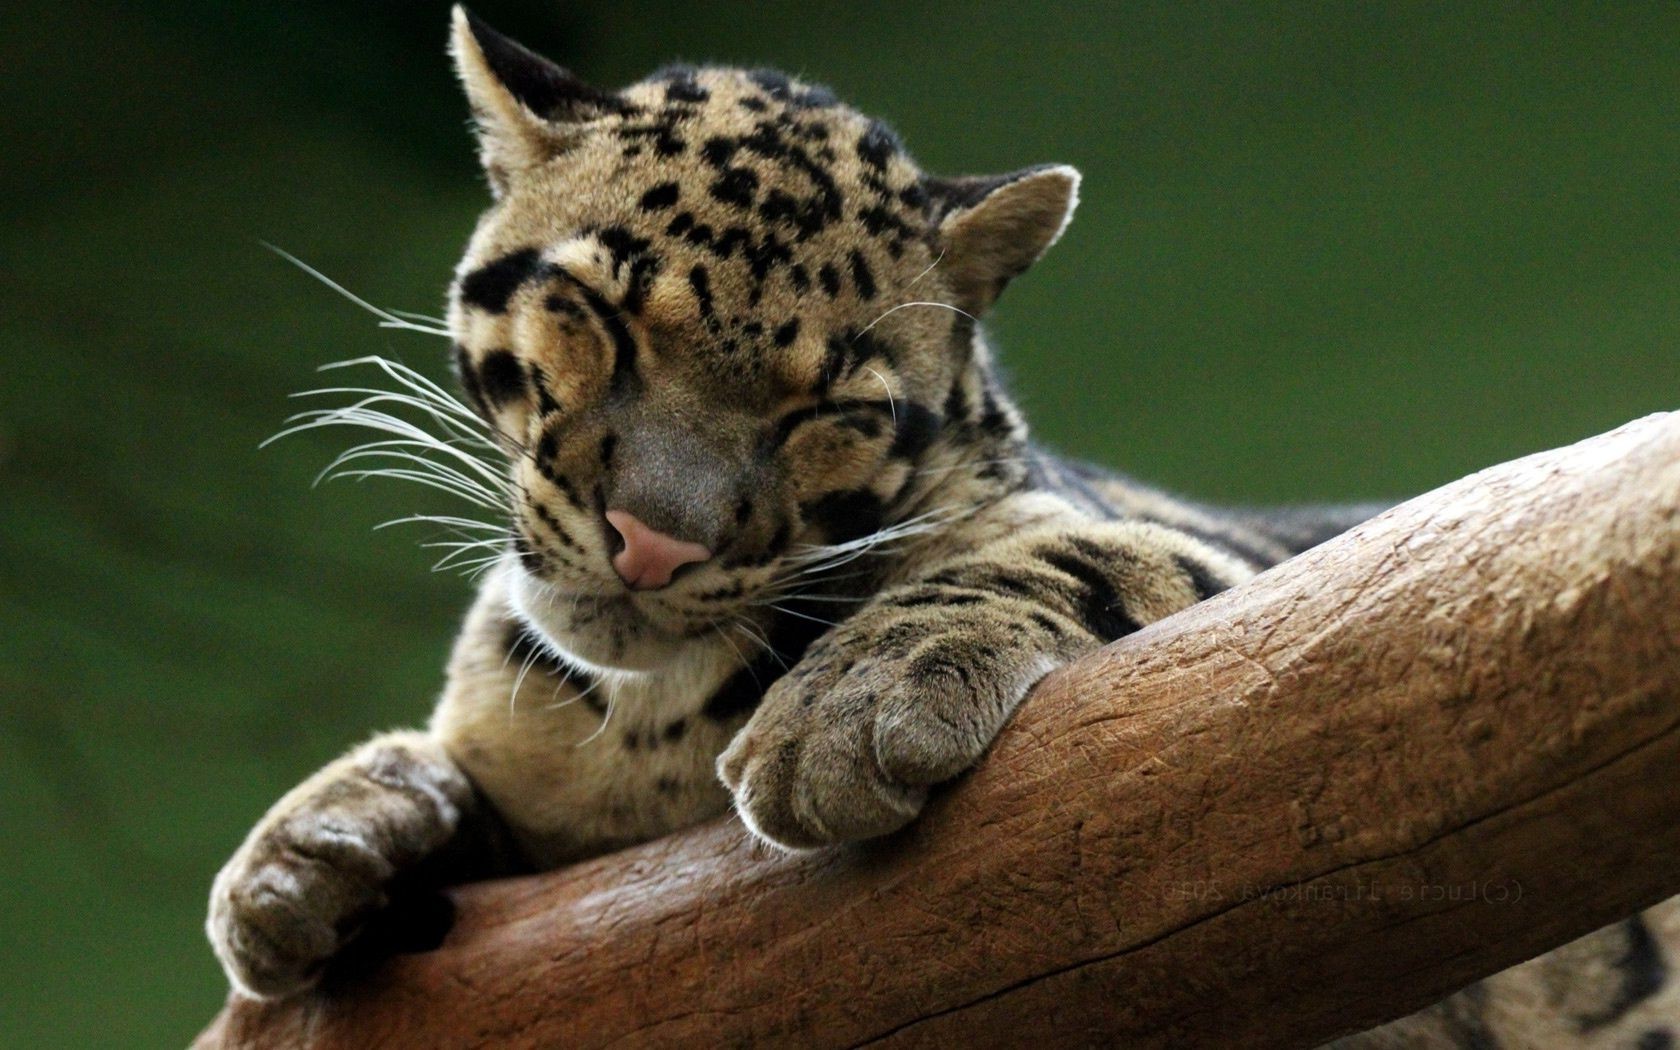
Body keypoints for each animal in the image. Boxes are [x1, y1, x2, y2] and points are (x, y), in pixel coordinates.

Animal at [203, 10, 1673, 1048]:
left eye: (828, 410)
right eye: (600, 316)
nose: (655, 542)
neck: (642, 723)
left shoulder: (1280, 585)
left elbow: (1063, 549)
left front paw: (850, 701)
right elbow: (460, 762)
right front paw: (310, 844)